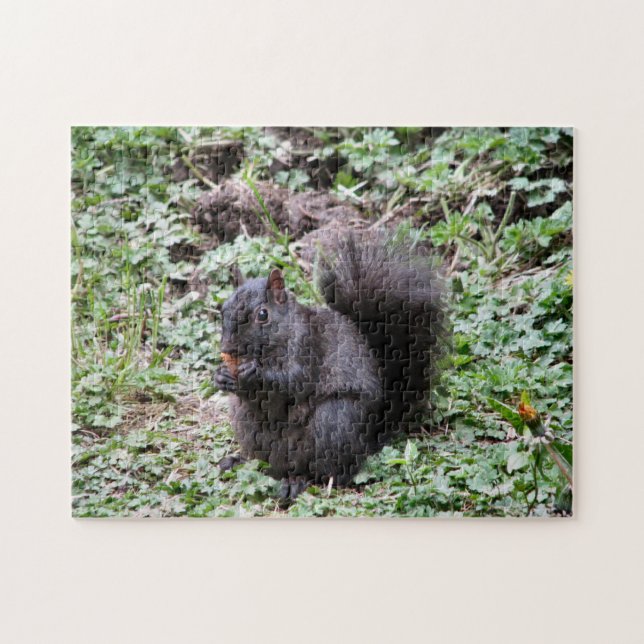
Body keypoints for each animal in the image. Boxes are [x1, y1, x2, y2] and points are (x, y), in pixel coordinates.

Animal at [214, 235, 445, 499]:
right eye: (223, 310)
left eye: (263, 315)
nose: (228, 347)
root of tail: (369, 438)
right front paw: (221, 376)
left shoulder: (307, 346)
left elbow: (293, 382)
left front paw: (255, 373)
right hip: (247, 425)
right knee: (268, 465)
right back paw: (240, 461)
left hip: (333, 421)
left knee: (330, 472)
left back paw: (299, 481)